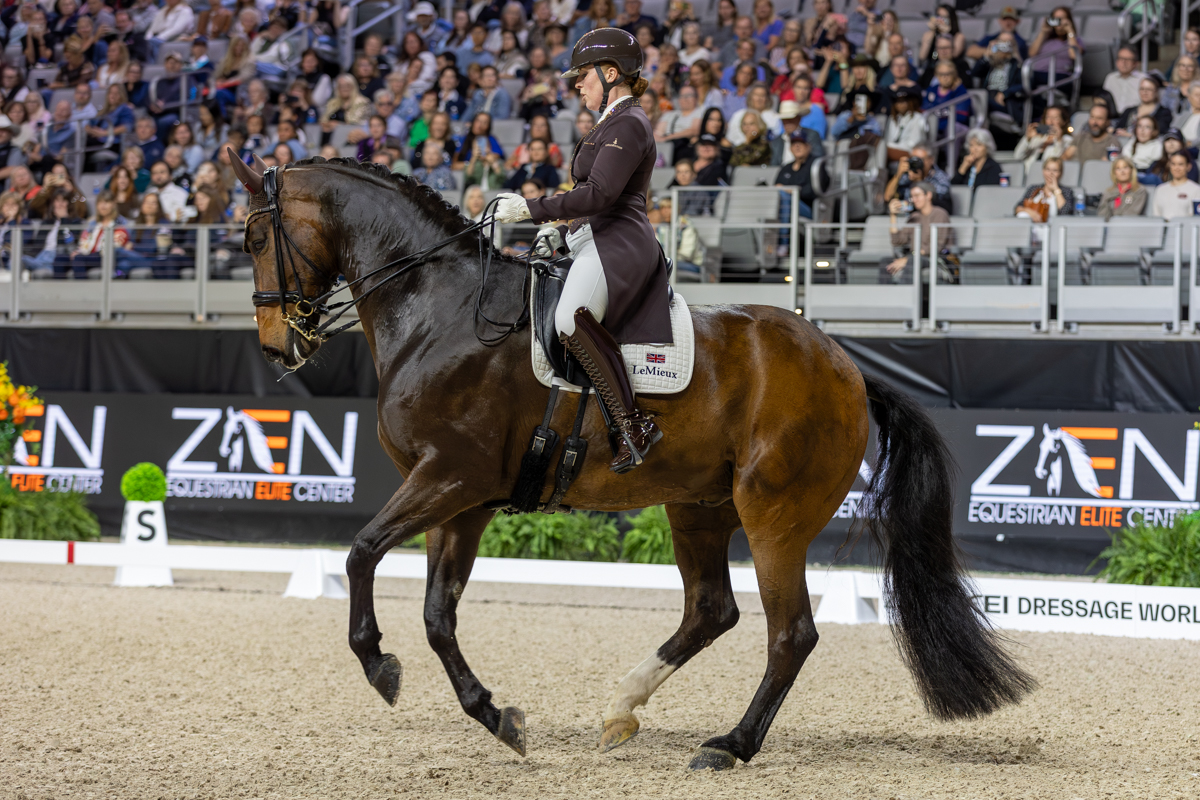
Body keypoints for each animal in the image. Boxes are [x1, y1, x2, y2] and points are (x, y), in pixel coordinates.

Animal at [228, 153, 1036, 771]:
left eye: (257, 235)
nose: (275, 345)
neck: (439, 309)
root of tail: (846, 366)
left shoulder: (450, 476)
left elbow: (362, 553)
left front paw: (380, 667)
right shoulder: (466, 499)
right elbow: (437, 614)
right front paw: (496, 716)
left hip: (773, 513)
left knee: (791, 633)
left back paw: (730, 745)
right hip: (699, 506)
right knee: (711, 610)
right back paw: (621, 708)